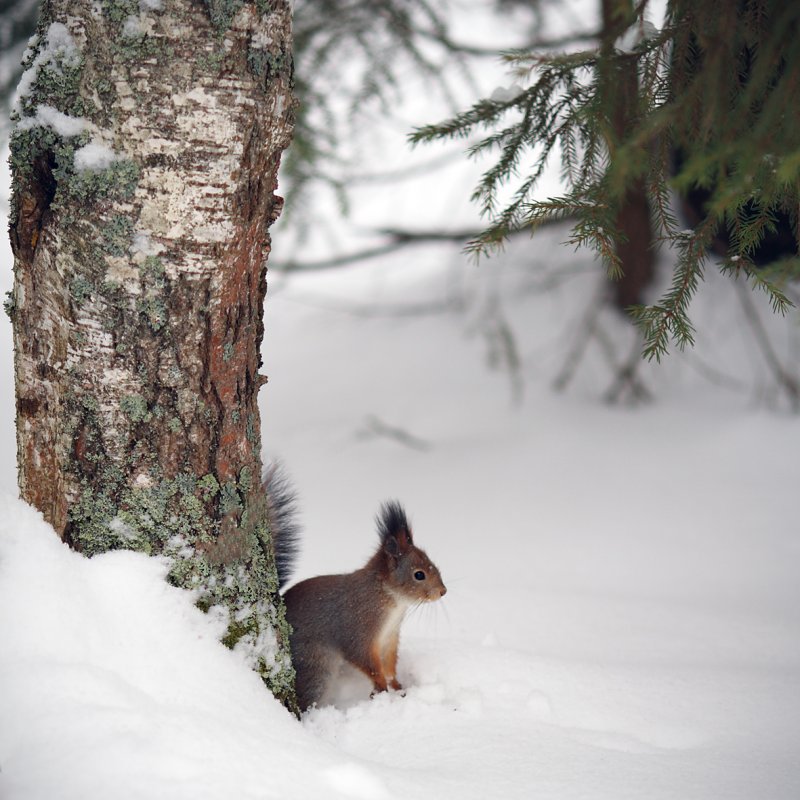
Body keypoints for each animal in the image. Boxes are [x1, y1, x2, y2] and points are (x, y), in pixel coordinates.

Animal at [266, 462, 446, 712]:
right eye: (419, 575)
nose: (443, 591)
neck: (390, 599)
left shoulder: (389, 637)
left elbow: (389, 663)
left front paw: (396, 684)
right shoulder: (359, 628)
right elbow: (365, 659)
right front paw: (381, 685)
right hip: (315, 667)